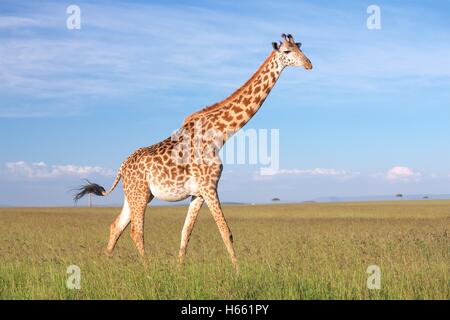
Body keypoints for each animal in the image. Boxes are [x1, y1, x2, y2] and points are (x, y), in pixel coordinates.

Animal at [74, 33, 312, 268]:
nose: (309, 64)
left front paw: (180, 270)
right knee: (135, 231)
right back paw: (148, 269)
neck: (220, 135)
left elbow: (186, 232)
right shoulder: (209, 186)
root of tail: (122, 166)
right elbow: (226, 232)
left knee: (116, 226)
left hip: (136, 194)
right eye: (287, 51)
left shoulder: (197, 193)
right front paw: (238, 271)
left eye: (300, 48)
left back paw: (105, 264)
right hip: (139, 193)